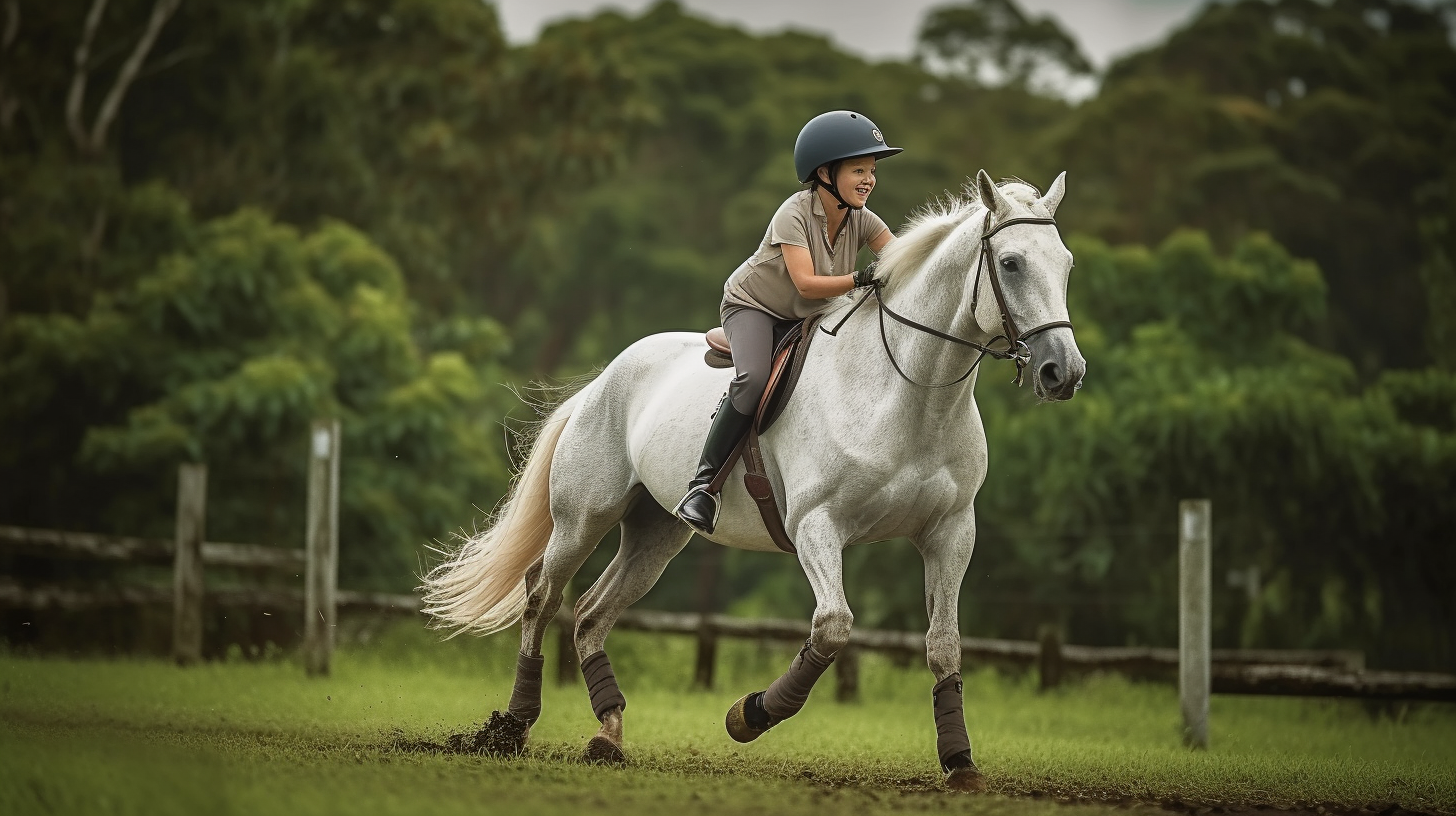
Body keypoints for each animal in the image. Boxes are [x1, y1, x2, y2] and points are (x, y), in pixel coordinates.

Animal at [422, 169, 1083, 786]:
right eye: (1011, 263)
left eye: (1067, 264)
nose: (1064, 373)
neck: (909, 392)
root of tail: (603, 379)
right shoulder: (818, 524)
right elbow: (833, 628)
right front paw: (750, 715)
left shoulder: (950, 533)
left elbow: (943, 645)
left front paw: (959, 762)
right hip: (584, 517)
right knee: (543, 598)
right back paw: (512, 726)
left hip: (656, 534)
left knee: (590, 613)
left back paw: (608, 733)